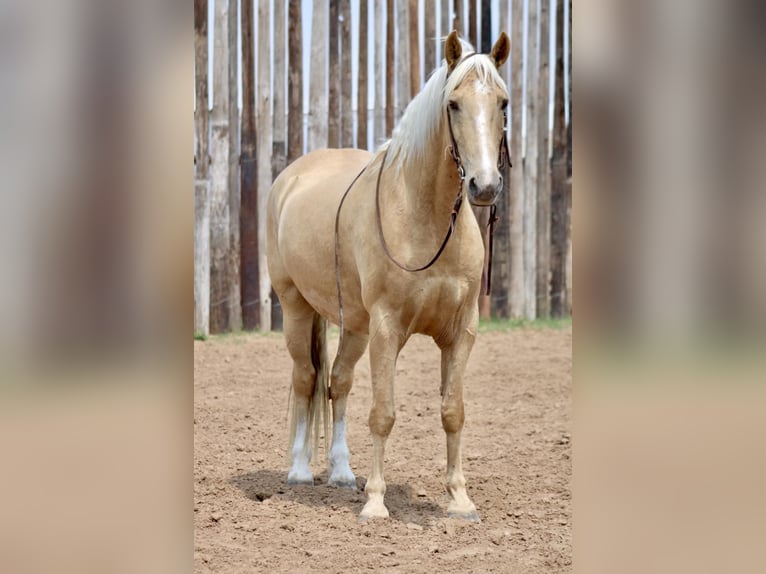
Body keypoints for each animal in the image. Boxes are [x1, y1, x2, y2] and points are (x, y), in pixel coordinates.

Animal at [268, 32, 512, 528]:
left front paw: (460, 500)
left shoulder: (461, 332)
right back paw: (300, 471)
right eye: (453, 104)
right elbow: (383, 413)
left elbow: (453, 412)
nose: (483, 187)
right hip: (296, 308)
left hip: (355, 328)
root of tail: (290, 177)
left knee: (337, 382)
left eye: (503, 102)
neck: (425, 217)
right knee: (306, 379)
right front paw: (376, 503)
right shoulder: (387, 330)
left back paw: (342, 474)